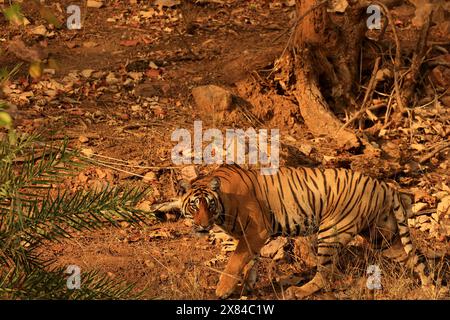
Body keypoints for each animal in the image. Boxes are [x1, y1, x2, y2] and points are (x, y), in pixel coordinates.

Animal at [177, 165, 432, 300]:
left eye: (208, 205)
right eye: (194, 206)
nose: (202, 225)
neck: (224, 204)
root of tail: (383, 185)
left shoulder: (256, 231)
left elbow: (235, 261)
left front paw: (223, 289)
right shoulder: (250, 238)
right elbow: (250, 262)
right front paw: (246, 287)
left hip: (331, 232)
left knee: (325, 274)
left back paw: (298, 291)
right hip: (383, 236)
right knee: (416, 257)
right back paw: (429, 285)